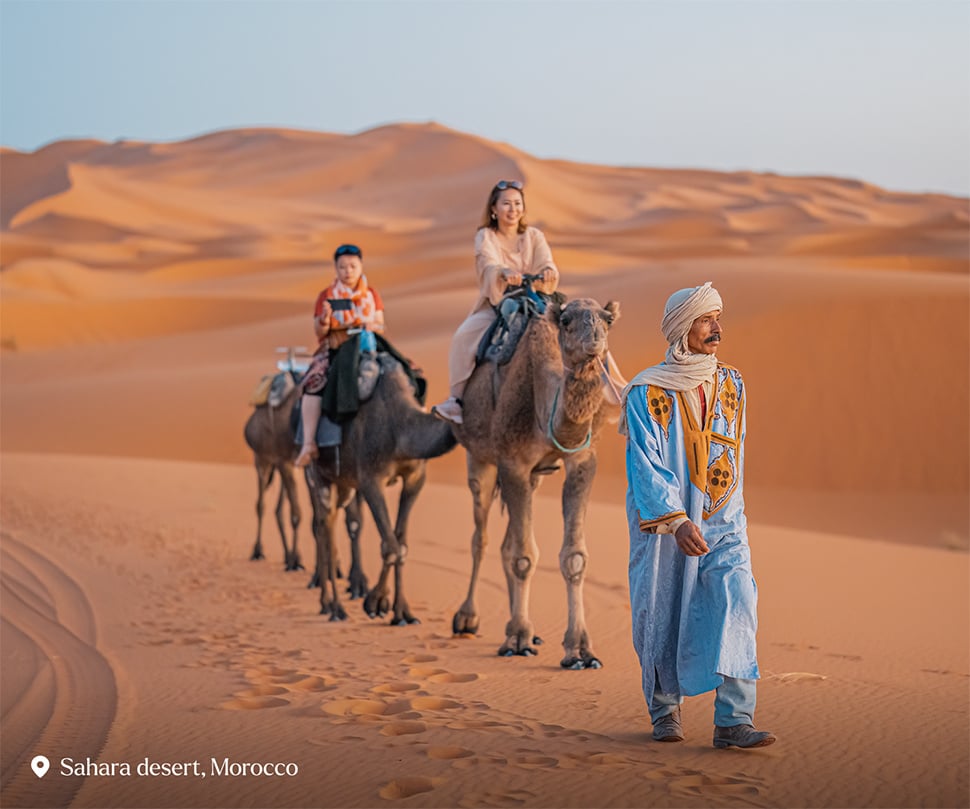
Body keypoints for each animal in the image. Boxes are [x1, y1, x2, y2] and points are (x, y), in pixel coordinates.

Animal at [242, 370, 366, 596]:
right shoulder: (293, 464)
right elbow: (307, 517)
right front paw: (318, 575)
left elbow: (348, 521)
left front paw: (355, 581)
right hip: (263, 459)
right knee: (262, 503)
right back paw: (260, 552)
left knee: (279, 508)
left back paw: (290, 556)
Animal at [306, 350, 458, 620]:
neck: (401, 427)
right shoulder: (370, 479)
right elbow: (390, 546)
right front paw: (375, 602)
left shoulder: (415, 478)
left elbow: (401, 544)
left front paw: (402, 612)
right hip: (317, 472)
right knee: (324, 528)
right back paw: (333, 606)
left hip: (343, 482)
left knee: (330, 522)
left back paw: (330, 602)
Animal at [448, 296, 616, 668]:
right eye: (567, 321)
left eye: (607, 320)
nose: (595, 340)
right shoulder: (512, 461)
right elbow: (523, 557)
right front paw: (518, 640)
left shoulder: (581, 460)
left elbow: (573, 557)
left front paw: (580, 650)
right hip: (479, 458)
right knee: (480, 537)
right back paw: (467, 618)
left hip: (534, 477)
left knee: (506, 540)